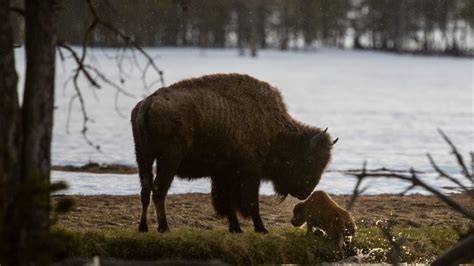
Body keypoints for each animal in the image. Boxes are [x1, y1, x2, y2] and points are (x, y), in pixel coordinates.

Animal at [131, 72, 336, 233]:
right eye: (309, 160)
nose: (305, 191)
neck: (272, 128)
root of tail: (147, 103)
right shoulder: (250, 173)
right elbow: (251, 202)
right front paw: (261, 229)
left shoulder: (224, 175)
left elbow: (228, 202)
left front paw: (236, 228)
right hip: (168, 160)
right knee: (159, 190)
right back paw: (164, 228)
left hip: (143, 157)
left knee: (145, 189)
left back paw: (143, 228)